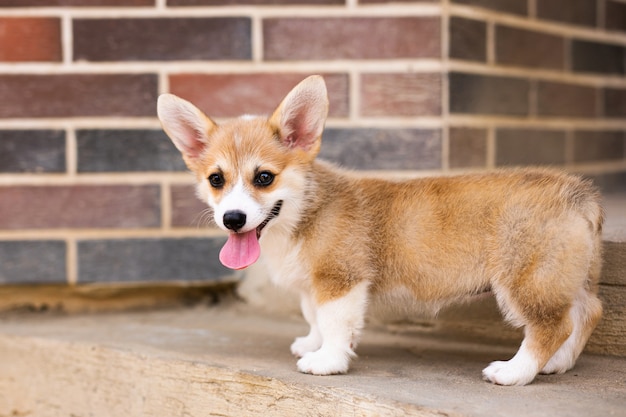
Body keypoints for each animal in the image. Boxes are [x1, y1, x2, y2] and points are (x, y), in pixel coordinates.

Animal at [158, 75, 604, 386]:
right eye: (216, 179)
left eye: (264, 177)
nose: (232, 219)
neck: (303, 212)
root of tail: (578, 193)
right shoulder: (315, 285)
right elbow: (314, 317)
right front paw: (312, 343)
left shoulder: (341, 281)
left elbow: (334, 323)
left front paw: (327, 361)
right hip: (563, 277)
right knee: (586, 312)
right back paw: (558, 364)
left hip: (526, 281)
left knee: (551, 326)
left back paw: (515, 372)